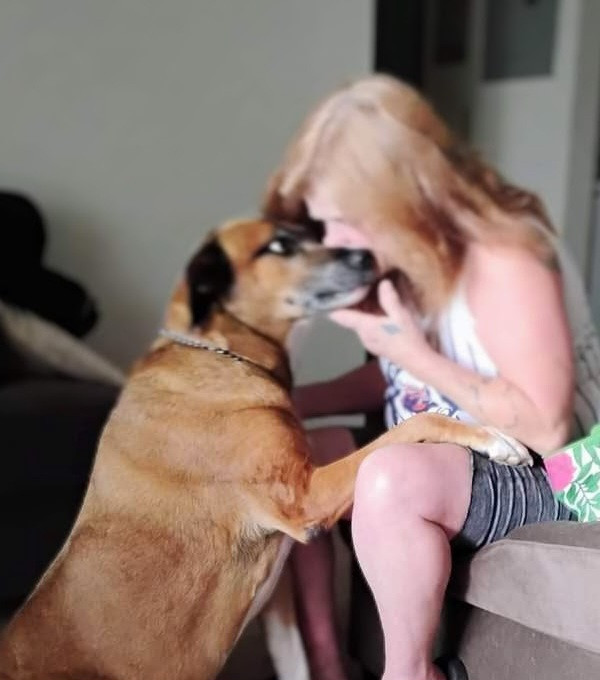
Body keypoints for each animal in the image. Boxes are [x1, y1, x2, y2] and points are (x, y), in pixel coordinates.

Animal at [0, 218, 530, 680]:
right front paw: (495, 438)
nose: (367, 254)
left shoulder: (278, 599)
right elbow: (417, 422)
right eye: (277, 246)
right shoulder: (303, 497)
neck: (223, 352)